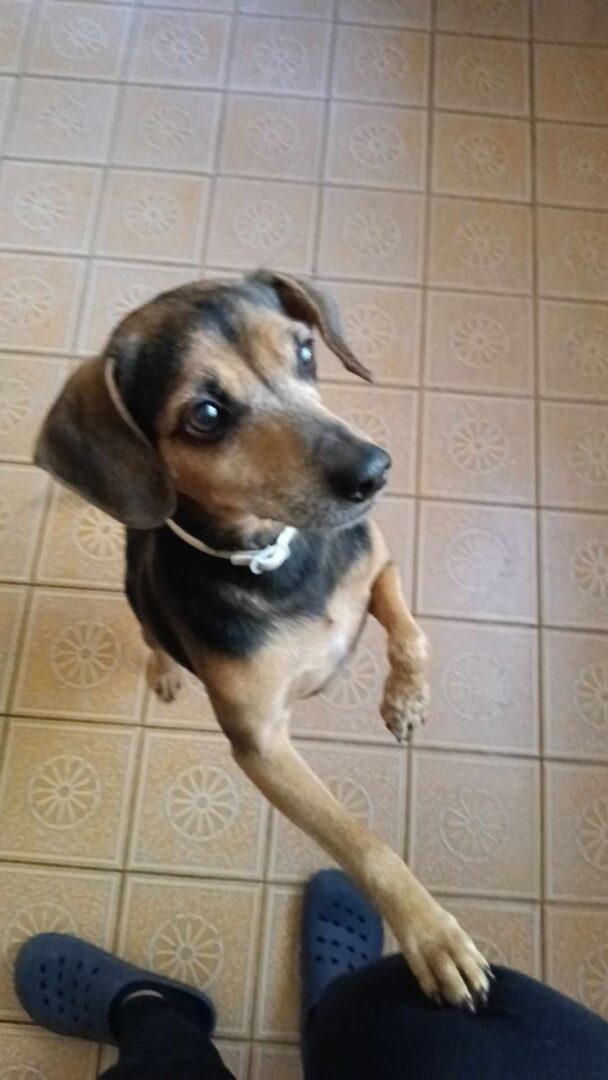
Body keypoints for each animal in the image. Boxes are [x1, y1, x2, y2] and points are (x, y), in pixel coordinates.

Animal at [35, 271, 490, 1009]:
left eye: (304, 351)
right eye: (206, 415)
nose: (374, 469)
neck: (279, 563)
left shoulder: (378, 566)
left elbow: (411, 637)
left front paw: (405, 701)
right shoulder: (261, 745)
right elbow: (362, 843)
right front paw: (432, 936)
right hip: (139, 598)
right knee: (150, 634)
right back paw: (164, 671)